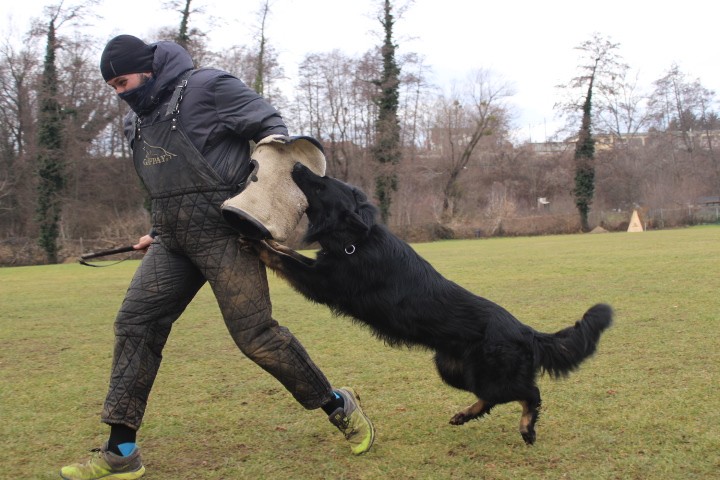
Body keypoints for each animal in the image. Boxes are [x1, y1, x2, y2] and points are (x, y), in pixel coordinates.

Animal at [253, 162, 612, 446]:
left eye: (320, 185)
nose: (297, 164)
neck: (356, 240)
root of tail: (526, 331)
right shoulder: (322, 269)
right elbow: (290, 254)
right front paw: (268, 240)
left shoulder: (324, 283)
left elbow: (286, 261)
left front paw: (255, 242)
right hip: (453, 370)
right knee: (493, 398)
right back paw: (465, 414)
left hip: (491, 375)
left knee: (529, 394)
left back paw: (526, 427)